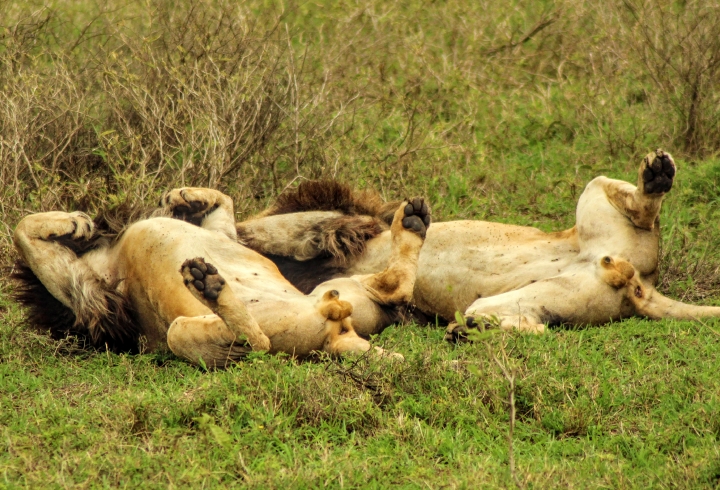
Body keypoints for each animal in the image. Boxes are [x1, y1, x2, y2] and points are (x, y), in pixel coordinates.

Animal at [11, 186, 430, 366]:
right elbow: (23, 231)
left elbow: (223, 201)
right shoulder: (95, 299)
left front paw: (184, 195)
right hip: (184, 330)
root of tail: (338, 336)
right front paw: (73, 222)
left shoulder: (224, 234)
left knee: (393, 288)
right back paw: (208, 285)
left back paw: (413, 221)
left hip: (336, 290)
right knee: (257, 343)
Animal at [235, 147, 720, 336]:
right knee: (531, 326)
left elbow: (254, 229)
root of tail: (642, 284)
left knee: (641, 207)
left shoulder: (315, 222)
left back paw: (656, 175)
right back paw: (467, 331)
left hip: (595, 194)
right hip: (542, 297)